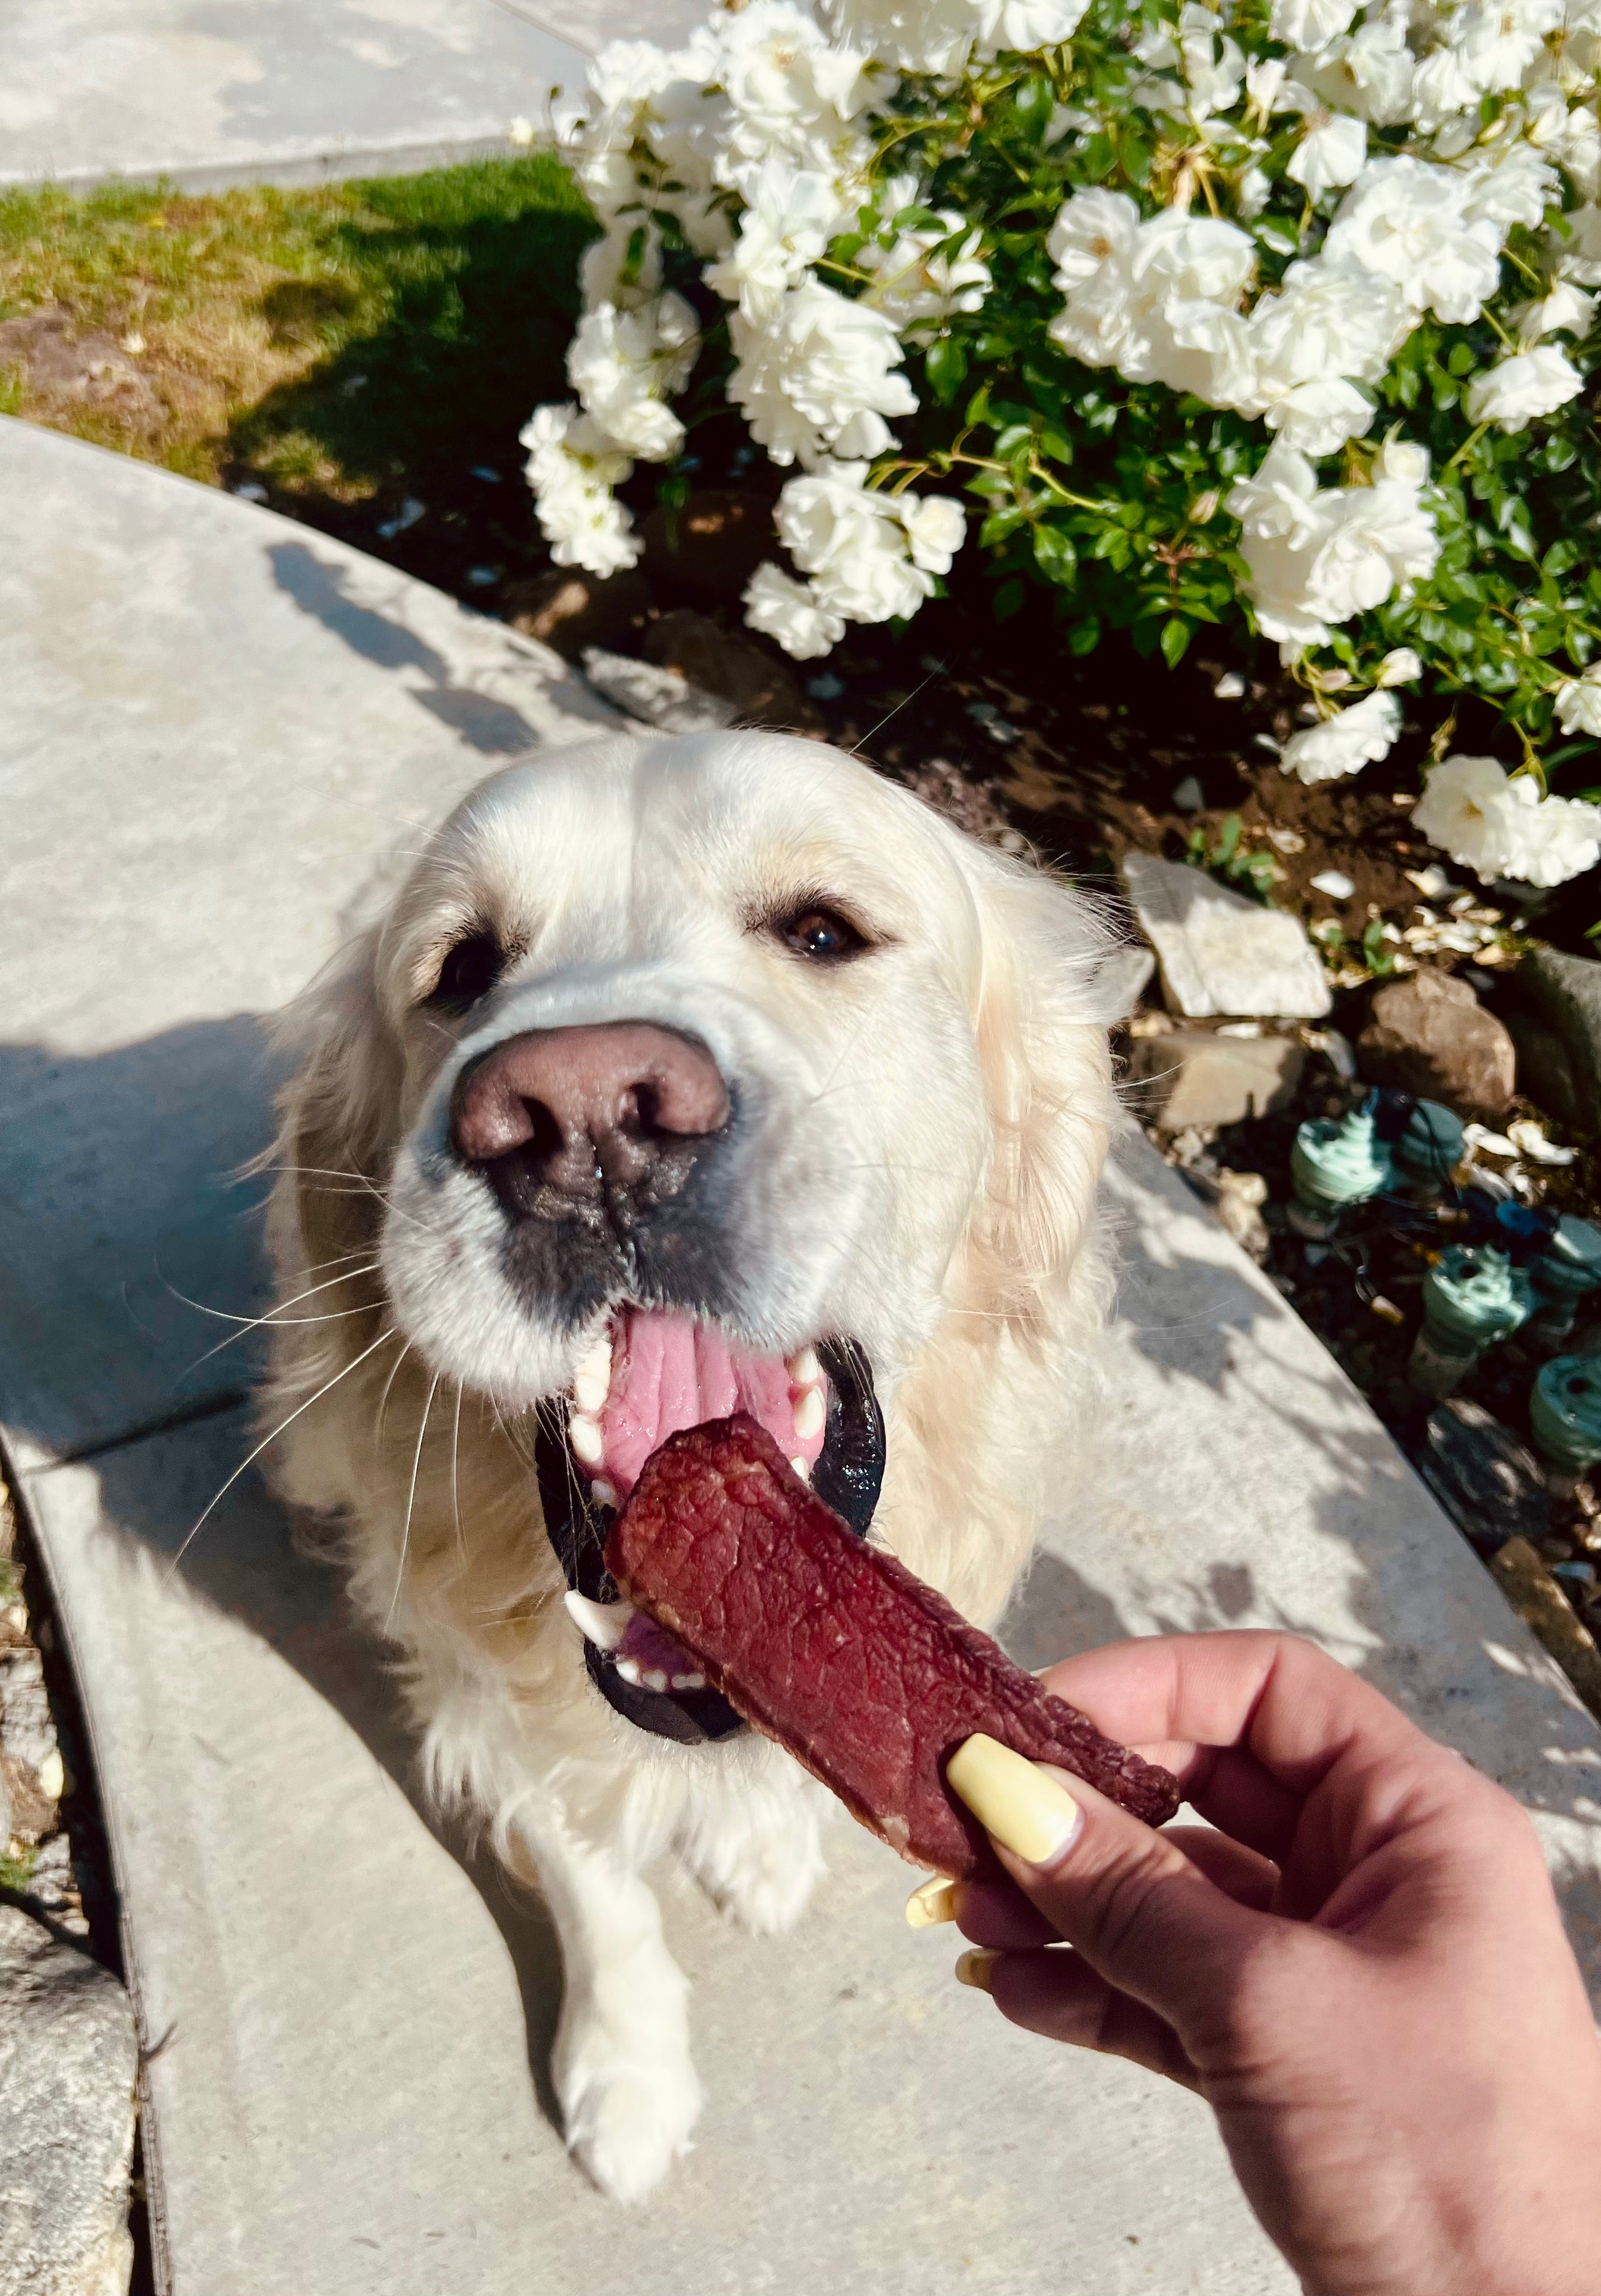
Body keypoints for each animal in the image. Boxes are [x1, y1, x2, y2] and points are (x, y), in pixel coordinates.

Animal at [261, 727, 1120, 2202]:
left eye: (822, 930)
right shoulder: (499, 1704)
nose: (581, 1111)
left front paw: (760, 1849)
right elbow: (598, 1890)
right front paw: (627, 2075)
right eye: (460, 968)